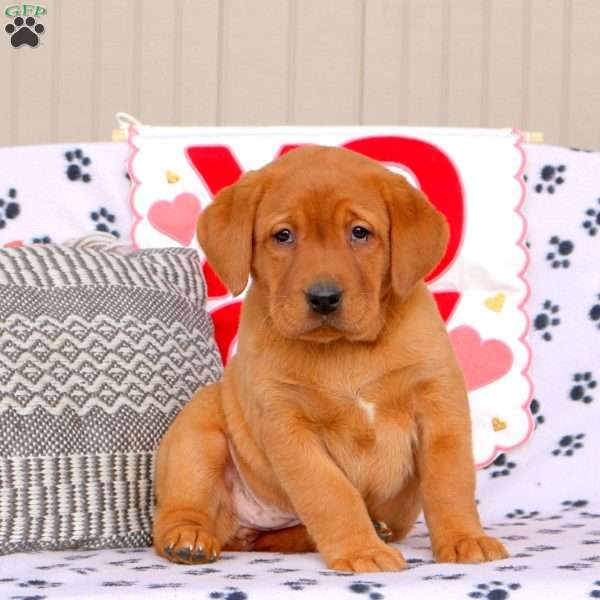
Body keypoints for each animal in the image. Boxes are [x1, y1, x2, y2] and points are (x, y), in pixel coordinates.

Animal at [152, 145, 508, 572]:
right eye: (283, 235)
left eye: (359, 233)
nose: (323, 298)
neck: (343, 350)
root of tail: (243, 530)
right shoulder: (287, 425)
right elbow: (332, 494)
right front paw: (361, 551)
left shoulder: (439, 405)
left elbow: (450, 482)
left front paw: (463, 538)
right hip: (197, 432)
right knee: (175, 513)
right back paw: (187, 537)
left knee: (276, 538)